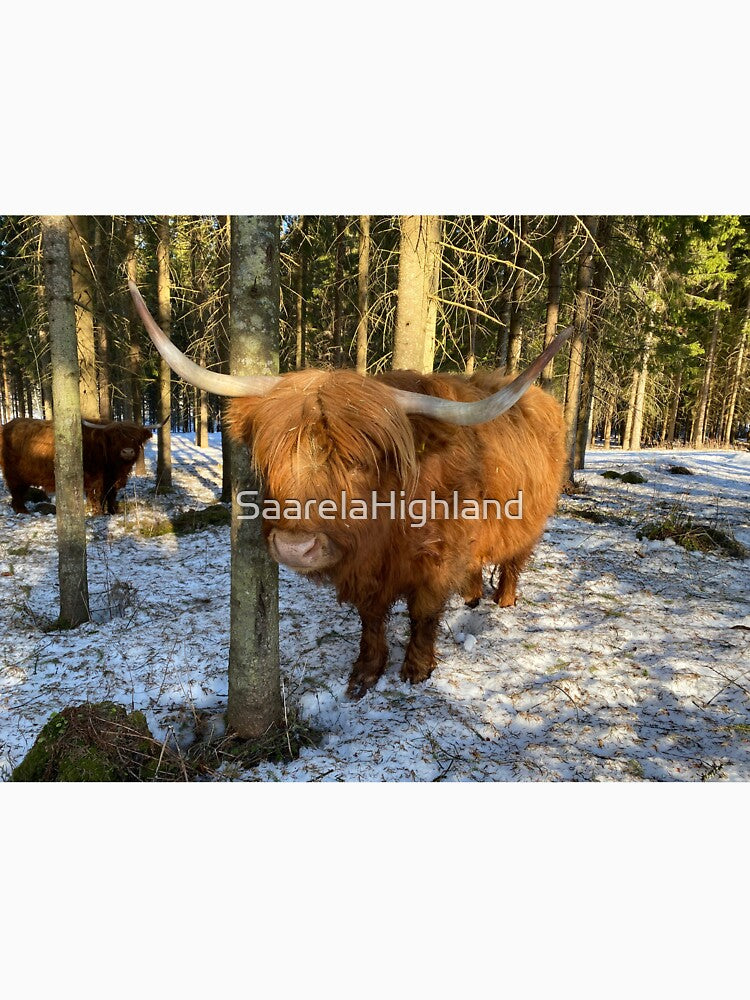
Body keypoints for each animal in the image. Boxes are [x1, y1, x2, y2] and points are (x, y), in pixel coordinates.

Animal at [0, 416, 159, 515]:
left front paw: (112, 511)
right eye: (114, 439)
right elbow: (96, 495)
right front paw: (98, 513)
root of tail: (6, 426)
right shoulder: (94, 478)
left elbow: (111, 495)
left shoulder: (112, 480)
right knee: (16, 491)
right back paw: (23, 511)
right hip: (13, 473)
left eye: (136, 438)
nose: (127, 451)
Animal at [130, 281, 569, 698]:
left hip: (530, 519)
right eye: (274, 458)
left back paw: (504, 600)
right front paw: (367, 671)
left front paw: (416, 669)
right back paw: (473, 596)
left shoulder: (438, 557)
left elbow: (423, 613)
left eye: (358, 461)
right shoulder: (367, 569)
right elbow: (371, 618)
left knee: (514, 560)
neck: (390, 524)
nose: (294, 548)